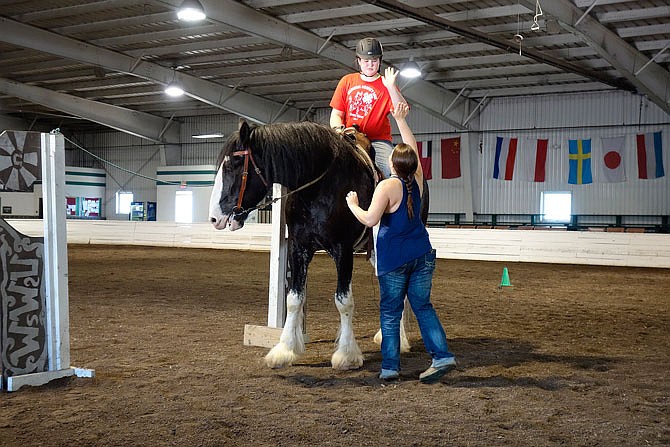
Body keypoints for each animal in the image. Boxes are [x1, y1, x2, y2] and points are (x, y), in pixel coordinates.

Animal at [210, 120, 378, 372]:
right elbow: (293, 299)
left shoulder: (343, 250)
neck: (320, 185)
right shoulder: (299, 249)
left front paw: (346, 355)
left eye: (233, 165)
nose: (214, 218)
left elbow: (344, 301)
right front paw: (285, 349)